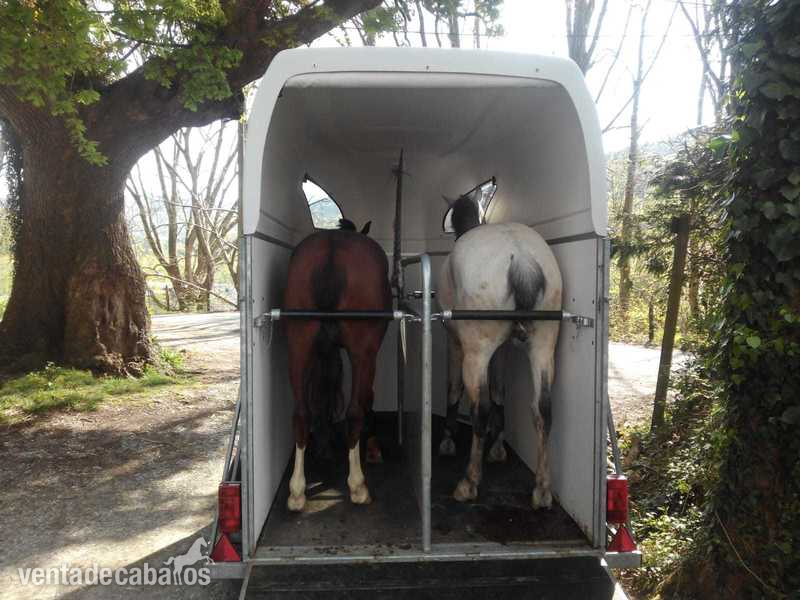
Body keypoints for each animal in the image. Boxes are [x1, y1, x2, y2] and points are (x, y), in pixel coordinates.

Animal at [284, 219, 391, 511]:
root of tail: (331, 249)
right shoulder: (368, 353)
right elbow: (367, 398)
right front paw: (373, 445)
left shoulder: (326, 350)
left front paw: (324, 445)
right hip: (362, 351)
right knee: (354, 412)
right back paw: (357, 486)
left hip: (298, 344)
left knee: (301, 413)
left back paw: (297, 491)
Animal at [437, 193, 563, 510]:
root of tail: (522, 259)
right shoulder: (504, 349)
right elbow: (498, 390)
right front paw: (497, 446)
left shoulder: (456, 342)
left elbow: (455, 389)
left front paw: (448, 439)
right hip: (543, 346)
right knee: (543, 408)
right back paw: (542, 489)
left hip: (477, 351)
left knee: (478, 408)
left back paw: (469, 482)